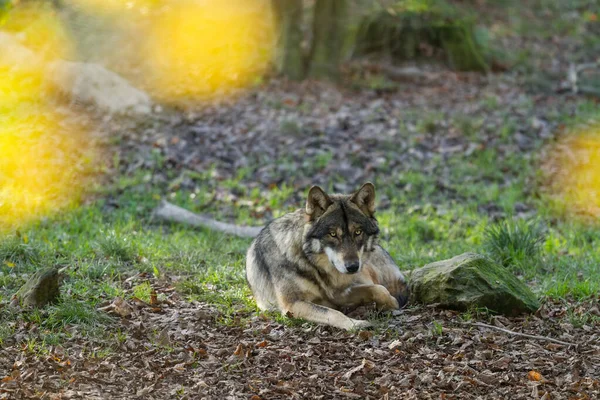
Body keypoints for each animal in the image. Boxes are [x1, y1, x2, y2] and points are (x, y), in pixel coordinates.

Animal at [245, 183, 408, 330]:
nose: (353, 267)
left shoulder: (339, 294)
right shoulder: (292, 304)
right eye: (333, 234)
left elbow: (378, 289)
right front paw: (355, 324)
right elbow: (333, 312)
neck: (312, 265)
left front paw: (391, 303)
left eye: (357, 232)